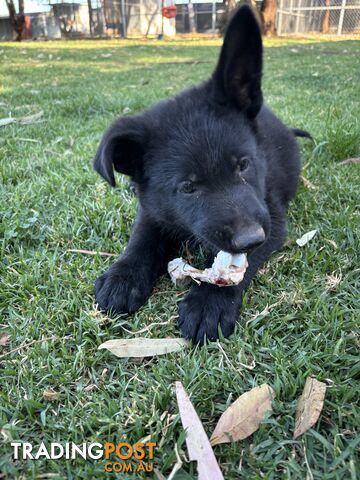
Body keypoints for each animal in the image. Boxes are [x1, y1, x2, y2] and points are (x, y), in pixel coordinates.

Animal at [93, 5, 304, 344]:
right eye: (188, 187)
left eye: (243, 165)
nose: (250, 238)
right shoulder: (152, 208)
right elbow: (141, 237)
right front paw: (122, 276)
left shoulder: (272, 218)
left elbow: (238, 267)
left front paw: (209, 302)